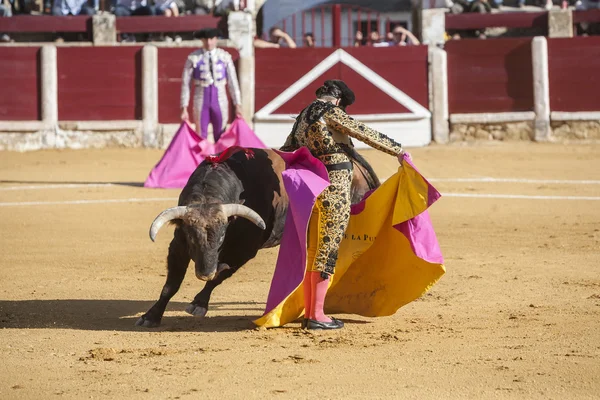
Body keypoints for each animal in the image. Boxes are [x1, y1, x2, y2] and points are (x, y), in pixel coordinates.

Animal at [137, 148, 380, 326]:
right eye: (190, 236)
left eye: (222, 235)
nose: (204, 273)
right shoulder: (178, 245)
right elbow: (171, 285)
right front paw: (151, 317)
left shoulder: (245, 250)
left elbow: (221, 274)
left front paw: (199, 303)